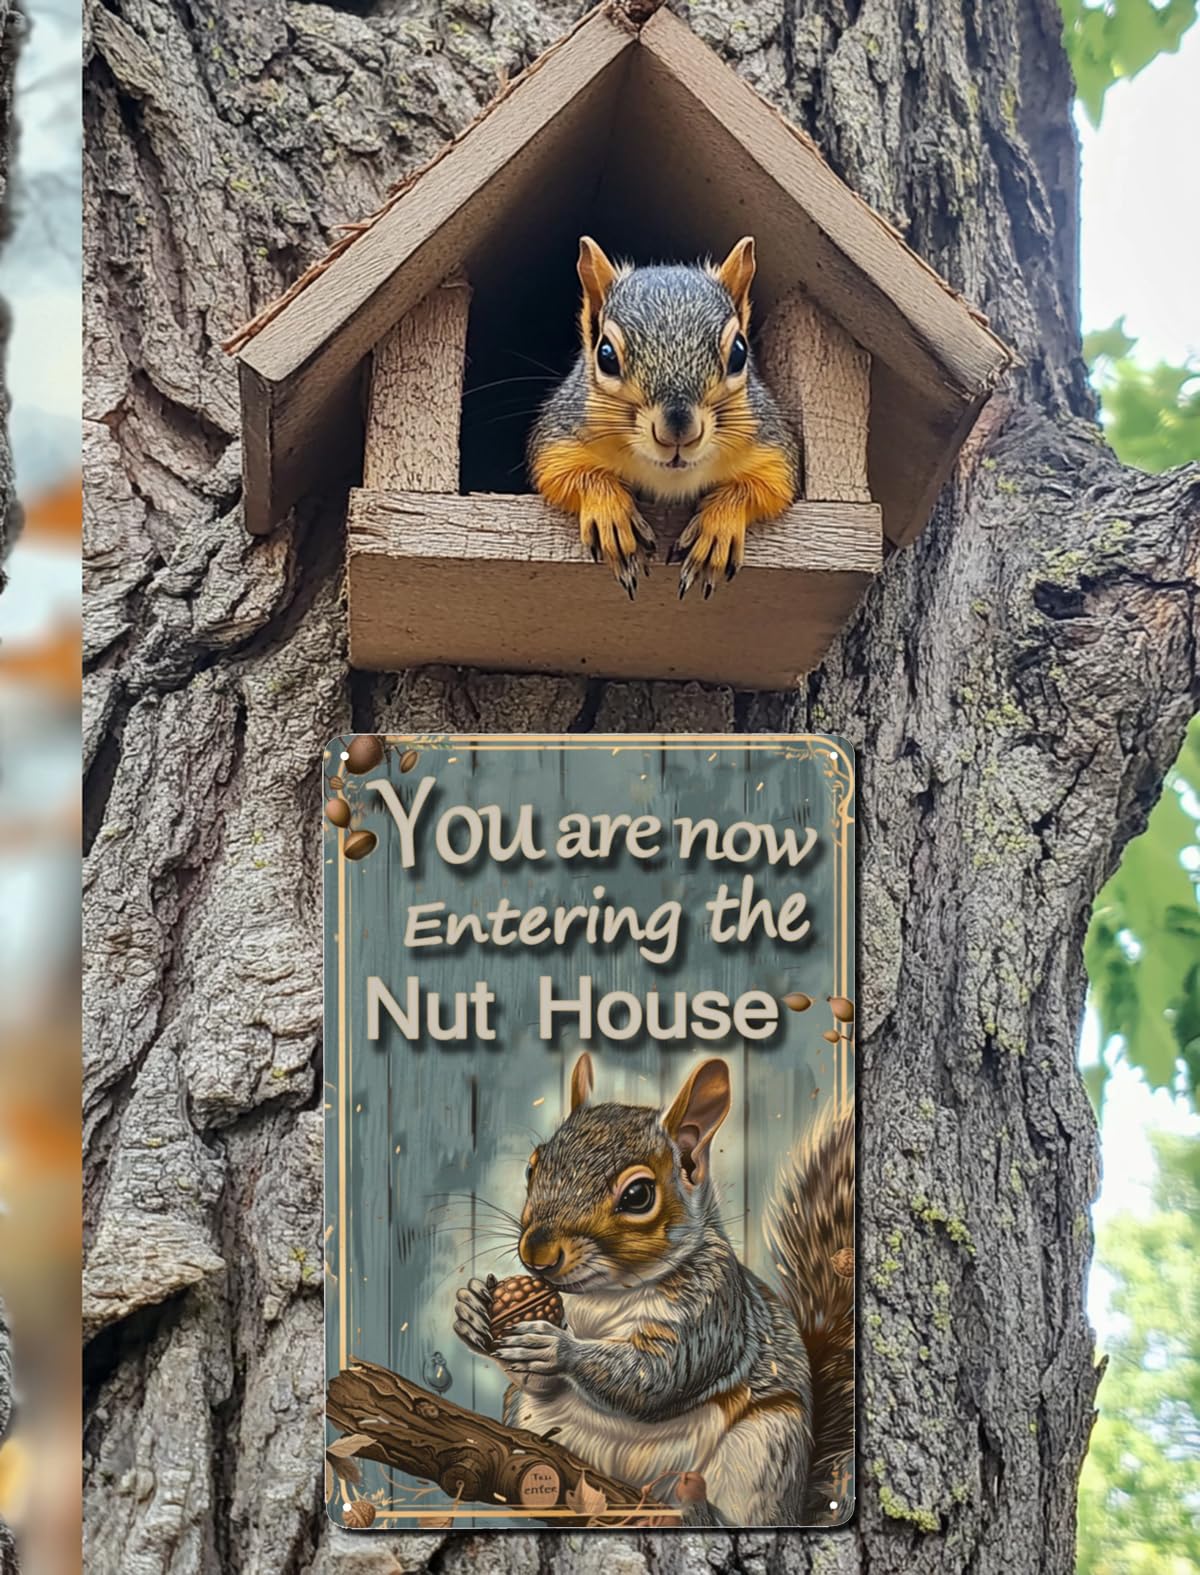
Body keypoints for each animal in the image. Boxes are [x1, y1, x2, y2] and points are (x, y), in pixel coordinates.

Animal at [454, 1053, 854, 1527]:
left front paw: (557, 1348)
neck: (605, 1293)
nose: (538, 1255)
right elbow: (535, 1380)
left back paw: (692, 1503)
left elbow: (660, 1374)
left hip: (769, 1443)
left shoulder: (714, 1310)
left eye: (638, 1195)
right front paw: (471, 1310)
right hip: (527, 1415)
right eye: (532, 1167)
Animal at [527, 236, 801, 601]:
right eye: (606, 355)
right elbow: (560, 471)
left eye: (739, 352)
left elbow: (770, 485)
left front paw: (718, 529)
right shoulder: (562, 430)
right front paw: (611, 515)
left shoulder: (769, 440)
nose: (678, 432)